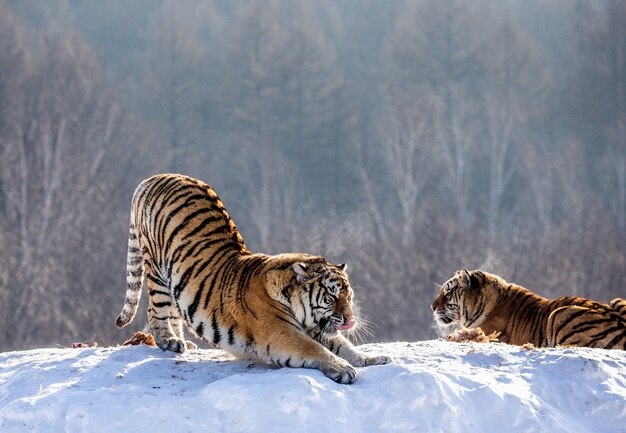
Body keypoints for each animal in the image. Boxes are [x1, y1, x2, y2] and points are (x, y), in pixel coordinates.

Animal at [116, 172, 390, 382]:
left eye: (349, 296)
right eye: (331, 296)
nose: (350, 319)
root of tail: (155, 177)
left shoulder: (316, 328)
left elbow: (344, 345)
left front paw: (372, 358)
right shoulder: (281, 332)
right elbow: (315, 349)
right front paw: (344, 369)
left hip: (177, 281)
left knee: (174, 311)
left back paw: (184, 343)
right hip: (157, 271)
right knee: (156, 310)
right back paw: (169, 341)